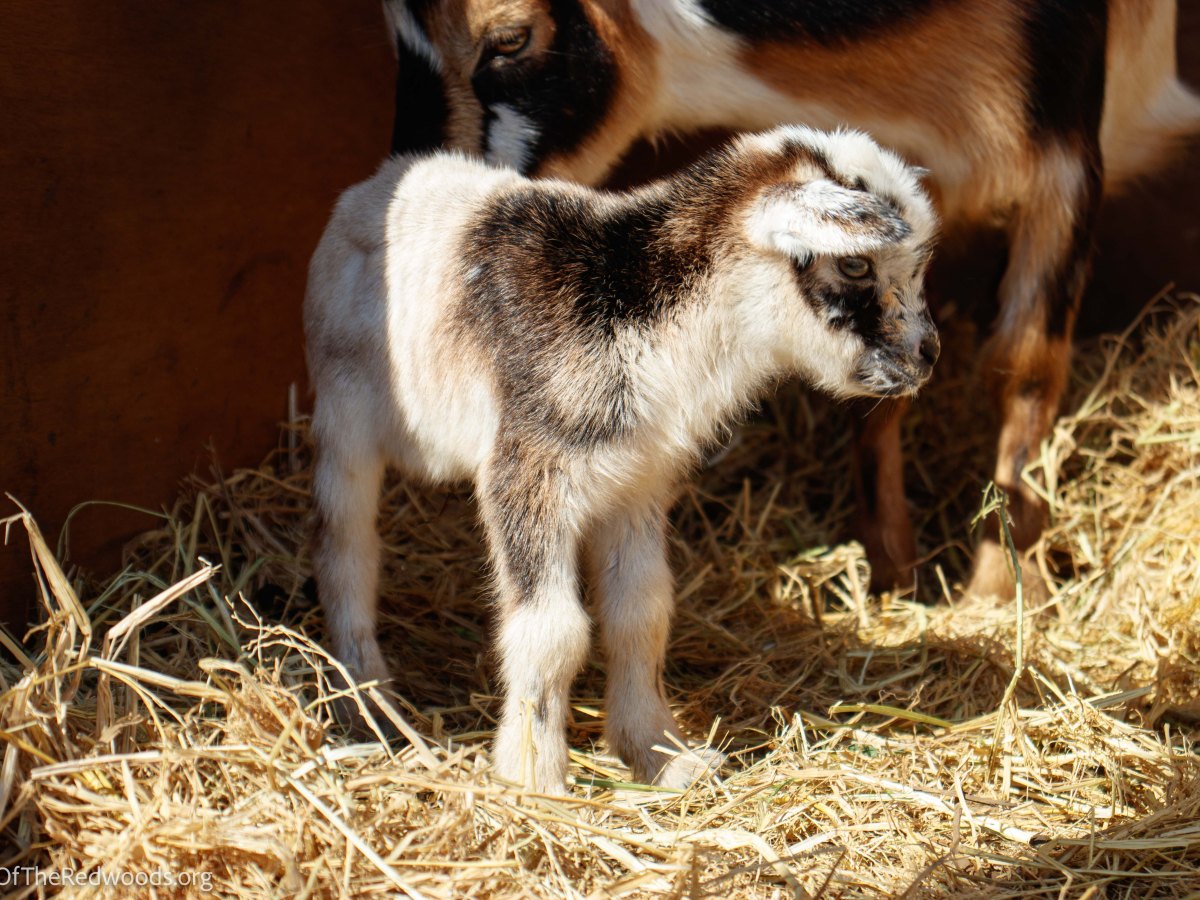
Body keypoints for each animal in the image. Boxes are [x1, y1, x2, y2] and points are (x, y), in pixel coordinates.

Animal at [305, 126, 939, 792]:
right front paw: (535, 778)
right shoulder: (526, 474)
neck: (636, 303)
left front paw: (663, 756)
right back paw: (366, 700)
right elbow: (552, 631)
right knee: (344, 546)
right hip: (343, 407)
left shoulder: (636, 483)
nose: (929, 355)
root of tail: (390, 177)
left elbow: (642, 613)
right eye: (855, 262)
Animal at [384, 0, 1200, 597]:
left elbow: (1024, 362)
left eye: (510, 37)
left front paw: (997, 591)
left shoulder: (1066, 137)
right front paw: (893, 571)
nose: (419, 188)